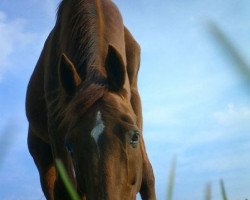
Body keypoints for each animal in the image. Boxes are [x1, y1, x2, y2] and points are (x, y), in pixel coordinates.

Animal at [24, 0, 154, 199]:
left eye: (134, 136)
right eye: (70, 146)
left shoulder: (133, 99)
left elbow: (147, 176)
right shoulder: (56, 118)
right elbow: (65, 189)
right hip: (42, 157)